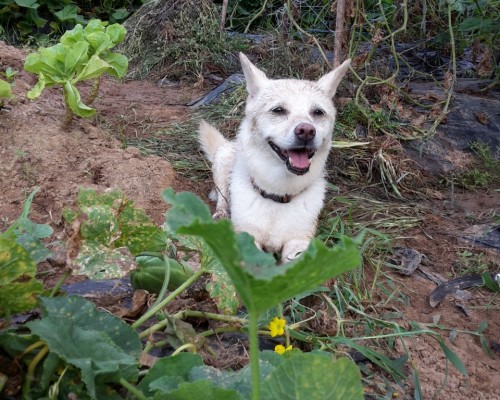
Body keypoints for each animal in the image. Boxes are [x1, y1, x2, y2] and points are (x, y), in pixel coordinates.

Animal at [200, 54, 352, 262]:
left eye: (318, 112)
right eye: (278, 110)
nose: (306, 131)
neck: (279, 194)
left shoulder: (299, 242)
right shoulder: (246, 237)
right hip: (223, 159)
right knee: (222, 198)